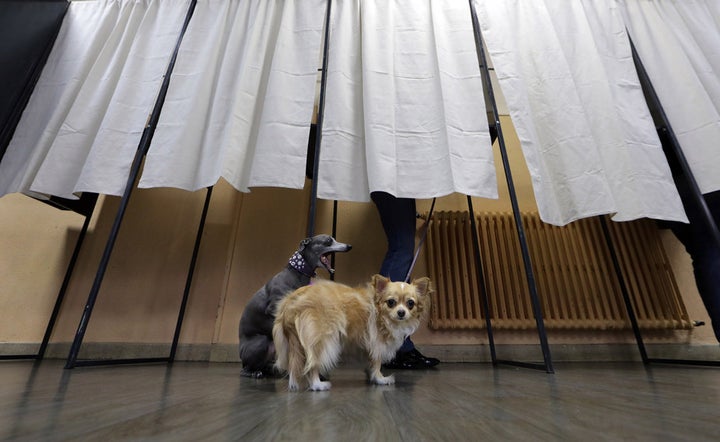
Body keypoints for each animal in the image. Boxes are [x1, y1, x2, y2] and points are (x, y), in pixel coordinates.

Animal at [239, 233, 352, 378]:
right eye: (328, 241)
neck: (296, 274)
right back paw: (254, 372)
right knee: (245, 369)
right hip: (261, 342)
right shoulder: (274, 309)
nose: (349, 246)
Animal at [272, 274, 430, 392]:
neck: (381, 313)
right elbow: (377, 363)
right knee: (313, 364)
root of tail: (290, 304)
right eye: (391, 302)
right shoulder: (377, 342)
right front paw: (380, 379)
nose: (401, 312)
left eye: (410, 303)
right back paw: (318, 384)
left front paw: (371, 375)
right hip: (322, 340)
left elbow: (371, 362)